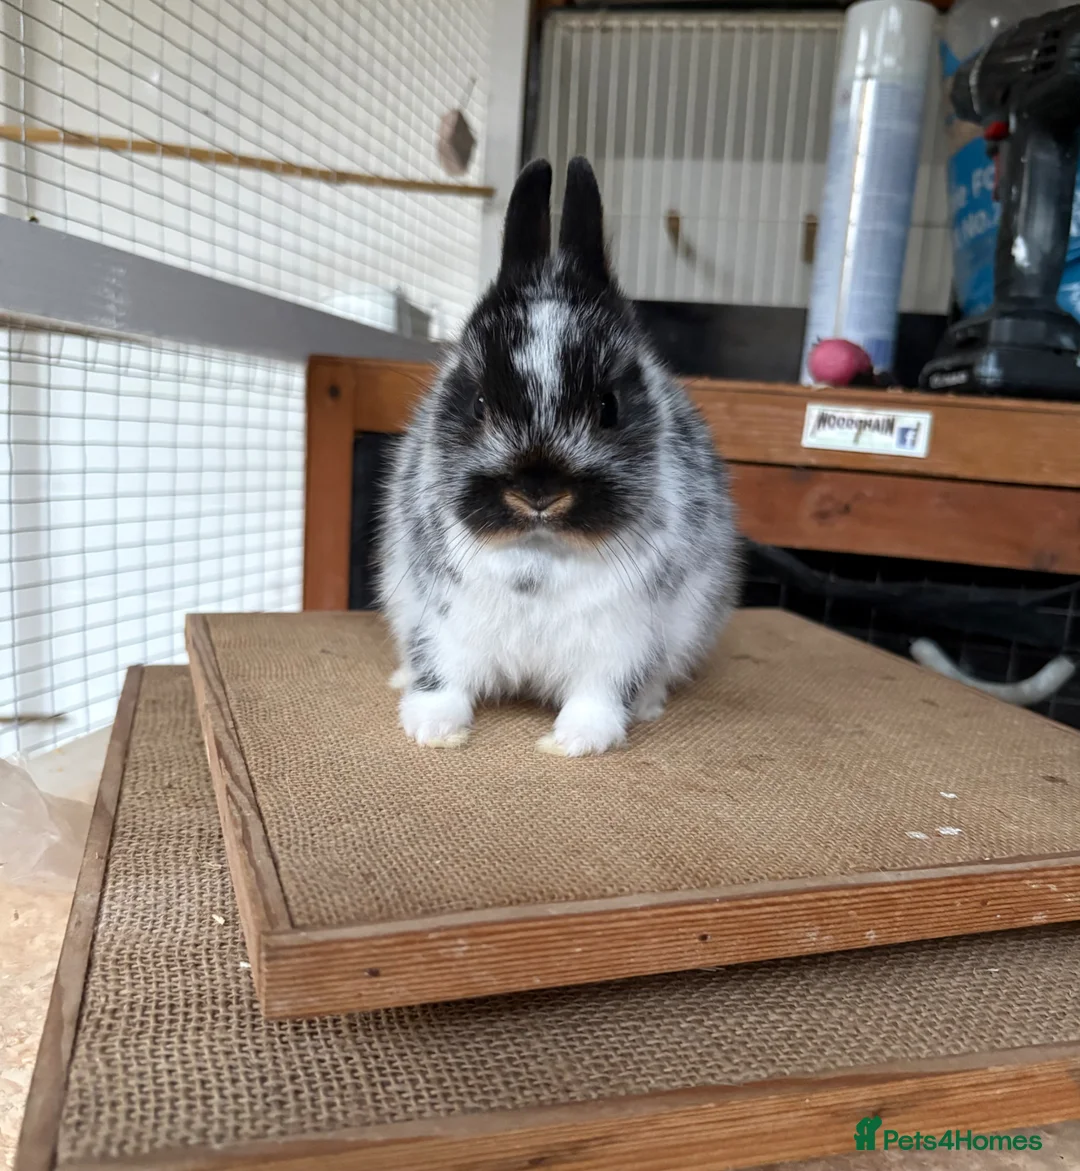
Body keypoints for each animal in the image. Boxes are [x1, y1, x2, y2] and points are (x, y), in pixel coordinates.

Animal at [377, 156, 741, 756]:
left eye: (609, 406)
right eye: (478, 403)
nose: (538, 492)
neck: (539, 549)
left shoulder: (618, 640)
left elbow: (599, 694)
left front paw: (576, 741)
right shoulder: (442, 620)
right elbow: (442, 676)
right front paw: (432, 728)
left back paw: (648, 704)